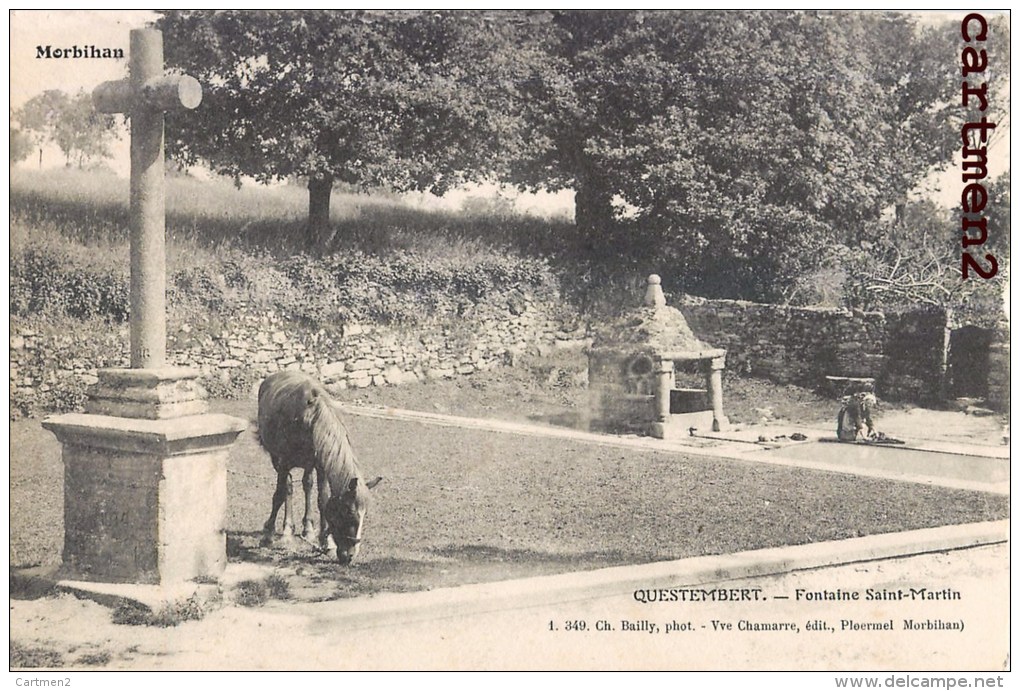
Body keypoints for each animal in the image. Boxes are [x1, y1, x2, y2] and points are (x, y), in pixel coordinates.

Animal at [255, 371, 383, 559]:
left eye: (364, 515)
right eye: (349, 513)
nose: (350, 555)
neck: (309, 418)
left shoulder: (321, 465)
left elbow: (322, 499)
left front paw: (326, 542)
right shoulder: (283, 462)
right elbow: (279, 495)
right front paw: (268, 535)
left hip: (308, 464)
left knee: (307, 485)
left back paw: (307, 529)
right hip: (276, 460)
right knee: (288, 487)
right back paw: (287, 530)